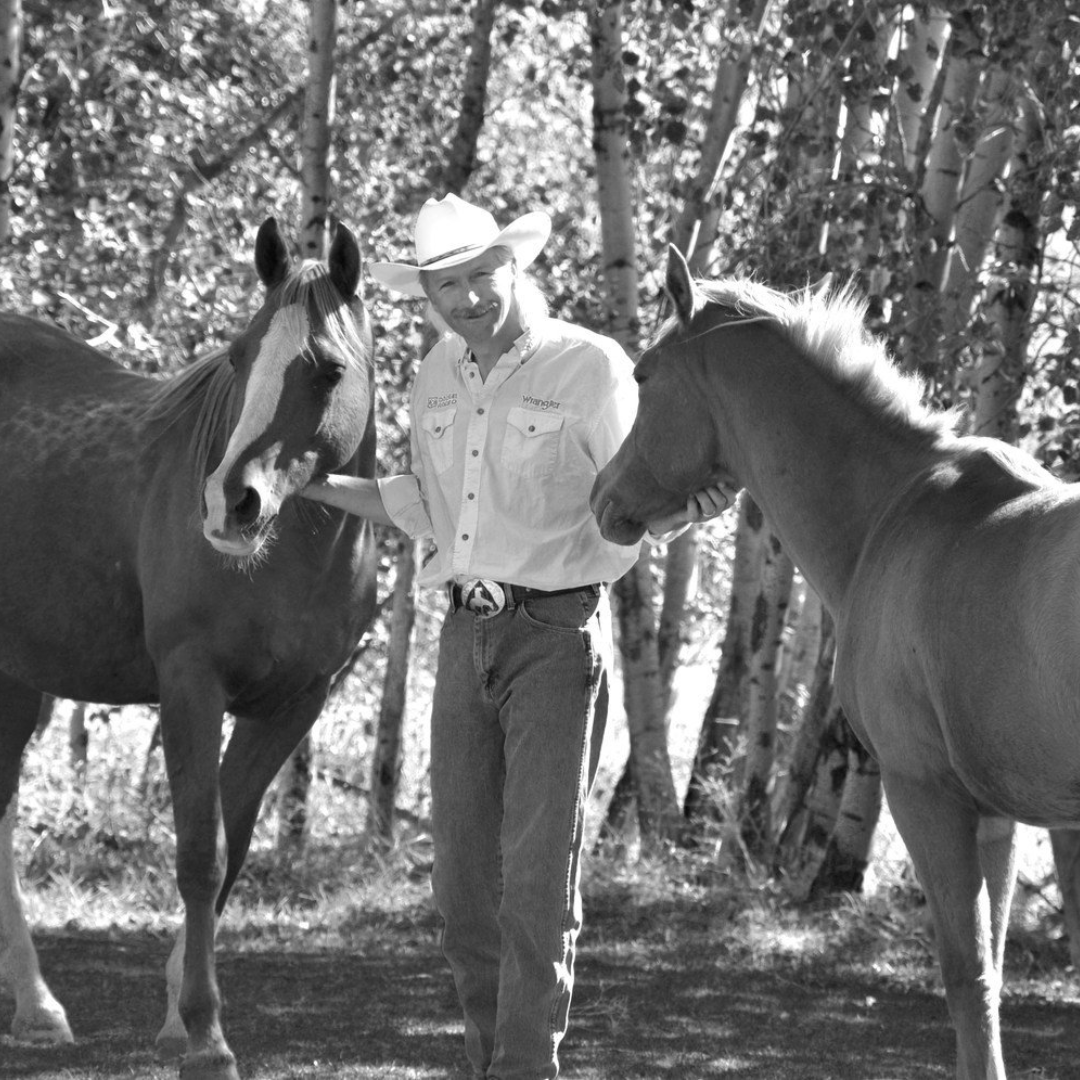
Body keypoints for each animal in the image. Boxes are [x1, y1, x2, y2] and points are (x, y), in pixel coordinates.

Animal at [0, 219, 380, 1080]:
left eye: (329, 368)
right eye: (240, 356)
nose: (230, 502)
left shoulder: (294, 703)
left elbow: (230, 852)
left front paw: (181, 1015)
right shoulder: (190, 688)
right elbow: (200, 856)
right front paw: (207, 1038)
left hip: (17, 684)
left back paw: (35, 1007)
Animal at [591, 247, 1080, 1080]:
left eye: (643, 376)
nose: (603, 496)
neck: (895, 508)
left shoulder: (928, 794)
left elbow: (968, 977)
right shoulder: (1006, 817)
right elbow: (991, 969)